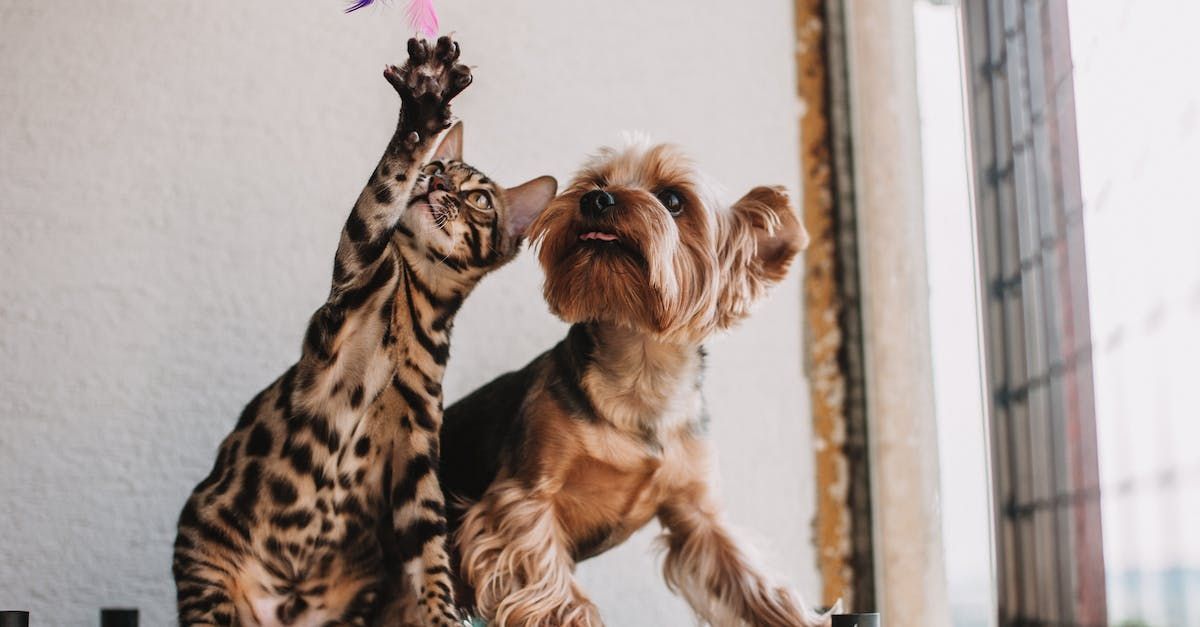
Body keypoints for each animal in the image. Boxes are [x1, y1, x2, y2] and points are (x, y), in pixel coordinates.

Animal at [174, 37, 556, 624]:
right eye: (440, 165)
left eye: (480, 199)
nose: (437, 180)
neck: (414, 310)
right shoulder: (354, 282)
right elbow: (382, 192)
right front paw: (421, 110)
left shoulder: (417, 461)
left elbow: (433, 560)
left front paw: (443, 616)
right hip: (206, 569)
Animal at [439, 140, 825, 624]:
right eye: (595, 182)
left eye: (673, 199)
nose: (595, 200)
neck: (640, 371)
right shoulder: (525, 497)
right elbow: (552, 588)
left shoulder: (696, 512)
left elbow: (749, 578)